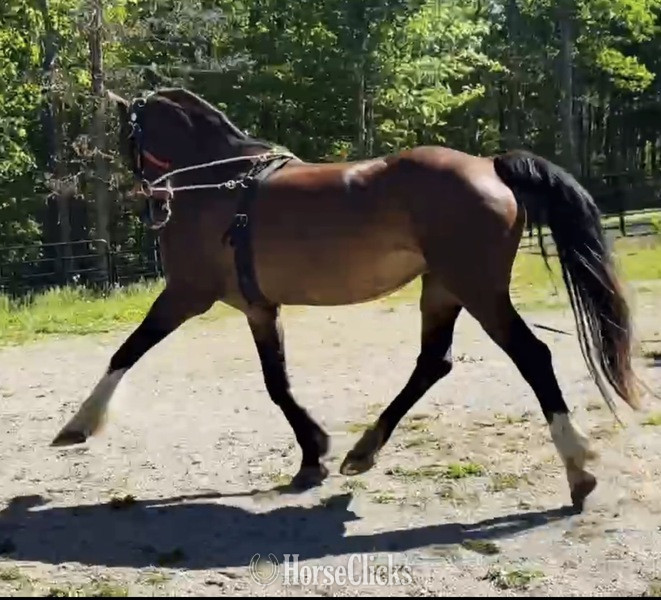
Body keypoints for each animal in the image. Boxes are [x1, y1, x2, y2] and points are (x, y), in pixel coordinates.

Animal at [51, 87, 640, 512]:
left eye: (128, 140)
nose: (152, 202)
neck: (222, 186)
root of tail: (489, 165)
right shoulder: (259, 308)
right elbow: (277, 384)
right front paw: (313, 453)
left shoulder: (186, 295)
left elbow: (126, 351)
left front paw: (78, 424)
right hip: (442, 288)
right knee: (433, 362)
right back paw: (363, 451)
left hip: (477, 289)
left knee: (531, 357)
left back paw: (578, 468)